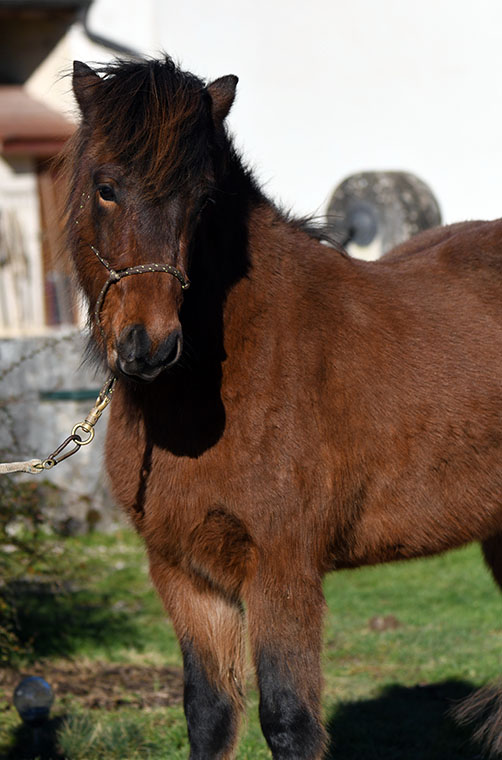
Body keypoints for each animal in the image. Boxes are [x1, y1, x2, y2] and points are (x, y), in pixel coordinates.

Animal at [61, 56, 502, 759]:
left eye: (202, 200)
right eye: (106, 188)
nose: (149, 345)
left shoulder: (280, 568)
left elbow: (290, 719)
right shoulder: (184, 573)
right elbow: (210, 712)